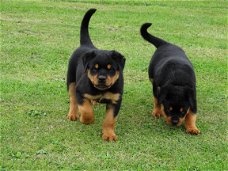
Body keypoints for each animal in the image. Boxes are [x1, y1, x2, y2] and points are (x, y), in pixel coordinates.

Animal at [67, 8, 125, 141]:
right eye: (94, 68)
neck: (101, 90)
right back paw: (73, 114)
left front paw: (109, 135)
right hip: (71, 80)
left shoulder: (115, 100)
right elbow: (85, 109)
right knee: (72, 99)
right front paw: (86, 120)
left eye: (111, 69)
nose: (102, 78)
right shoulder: (80, 91)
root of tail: (86, 45)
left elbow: (110, 119)